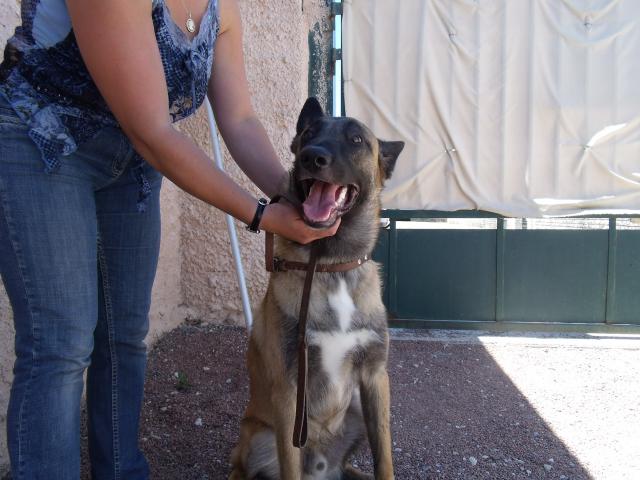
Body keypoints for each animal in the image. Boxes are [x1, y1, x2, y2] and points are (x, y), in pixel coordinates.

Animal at [228, 97, 402, 480]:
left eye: (356, 139)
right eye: (308, 133)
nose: (312, 157)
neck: (329, 265)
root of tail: (322, 470)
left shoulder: (375, 379)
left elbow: (384, 458)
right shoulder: (289, 392)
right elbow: (289, 466)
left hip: (355, 414)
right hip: (257, 437)